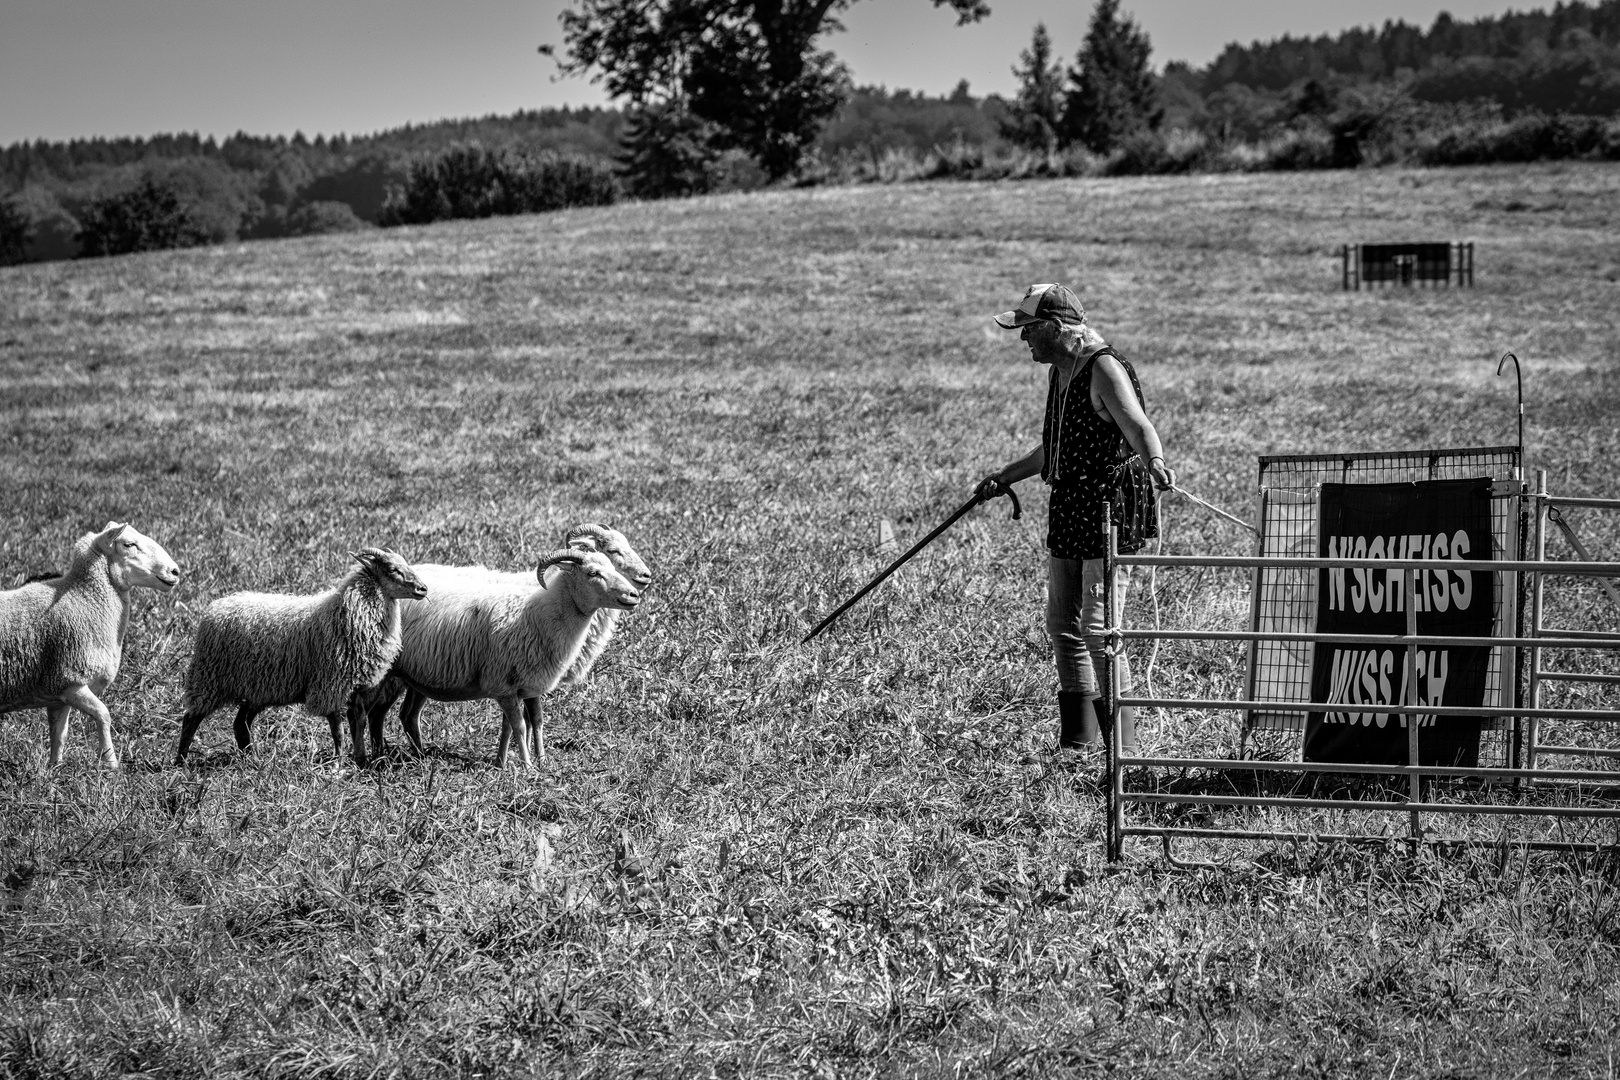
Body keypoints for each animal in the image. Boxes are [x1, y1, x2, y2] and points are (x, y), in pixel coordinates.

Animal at [0, 524, 182, 767]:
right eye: (129, 544)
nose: (175, 571)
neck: (84, 599)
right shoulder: (70, 679)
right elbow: (103, 714)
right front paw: (110, 763)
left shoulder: (56, 692)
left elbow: (59, 733)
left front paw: (54, 769)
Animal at [174, 550, 427, 767]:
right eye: (392, 569)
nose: (423, 589)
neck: (349, 613)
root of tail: (215, 608)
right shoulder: (330, 685)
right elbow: (338, 730)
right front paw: (339, 763)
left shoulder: (355, 687)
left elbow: (359, 722)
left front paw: (360, 759)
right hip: (209, 679)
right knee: (191, 719)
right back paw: (180, 761)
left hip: (256, 687)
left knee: (240, 724)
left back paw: (251, 759)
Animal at [367, 524, 651, 761]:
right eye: (612, 552)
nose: (640, 584)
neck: (538, 607)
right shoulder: (508, 680)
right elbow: (521, 723)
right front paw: (524, 764)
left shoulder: (524, 682)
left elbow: (527, 720)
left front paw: (512, 761)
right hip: (388, 672)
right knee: (375, 712)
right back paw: (380, 756)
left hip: (419, 676)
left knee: (407, 715)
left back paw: (418, 756)